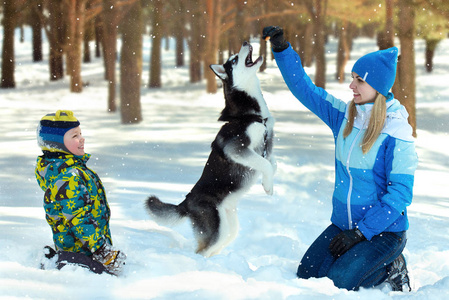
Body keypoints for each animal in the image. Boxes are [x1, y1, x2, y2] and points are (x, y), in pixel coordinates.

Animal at [145, 42, 274, 258]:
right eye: (233, 60)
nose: (246, 42)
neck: (252, 115)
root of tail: (187, 203)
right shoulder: (237, 148)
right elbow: (265, 163)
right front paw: (267, 184)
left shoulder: (268, 142)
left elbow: (272, 162)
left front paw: (269, 183)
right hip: (216, 227)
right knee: (202, 250)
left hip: (229, 226)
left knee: (217, 244)